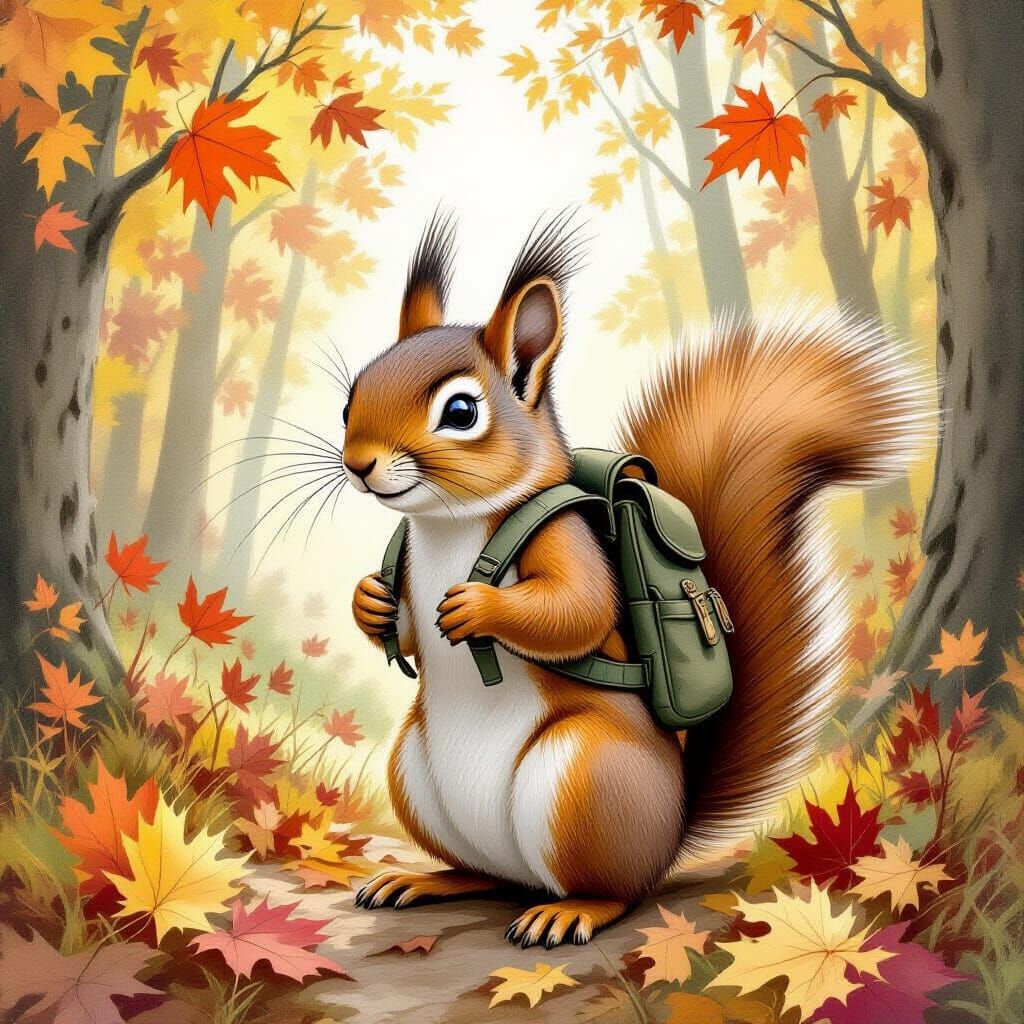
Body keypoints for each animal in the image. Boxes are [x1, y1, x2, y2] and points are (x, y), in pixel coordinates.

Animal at [343, 210, 927, 948]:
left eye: (461, 412)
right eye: (351, 395)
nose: (358, 463)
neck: (448, 524)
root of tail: (670, 838)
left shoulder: (564, 539)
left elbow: (578, 610)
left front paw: (477, 607)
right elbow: (411, 634)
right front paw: (369, 599)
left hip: (586, 779)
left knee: (613, 891)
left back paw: (569, 911)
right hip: (417, 778)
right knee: (488, 876)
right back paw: (427, 880)